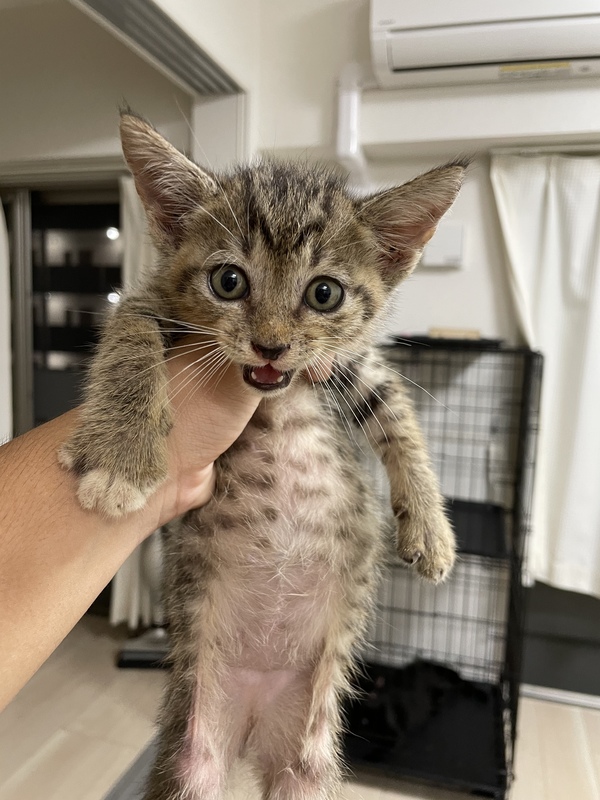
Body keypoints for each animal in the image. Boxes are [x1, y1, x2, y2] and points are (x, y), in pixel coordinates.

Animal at [59, 112, 464, 800]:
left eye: (324, 294)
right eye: (229, 282)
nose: (271, 346)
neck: (273, 396)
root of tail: (252, 727)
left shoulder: (349, 366)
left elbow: (399, 420)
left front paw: (431, 530)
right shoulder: (153, 305)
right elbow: (128, 331)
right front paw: (120, 456)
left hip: (309, 766)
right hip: (191, 757)